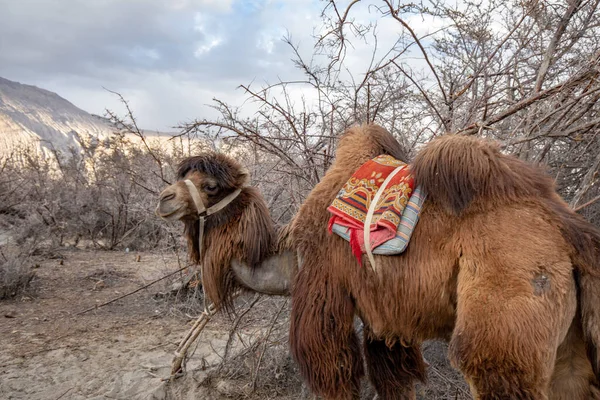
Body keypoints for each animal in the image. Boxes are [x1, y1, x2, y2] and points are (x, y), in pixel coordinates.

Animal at [156, 125, 600, 400]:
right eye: (181, 176)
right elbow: (393, 378)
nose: (164, 199)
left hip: (504, 322)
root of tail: (572, 232)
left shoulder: (324, 291)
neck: (291, 255)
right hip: (569, 334)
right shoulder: (385, 320)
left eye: (211, 186)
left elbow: (334, 370)